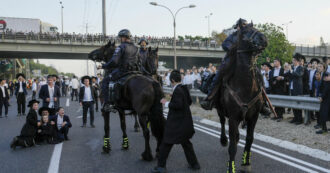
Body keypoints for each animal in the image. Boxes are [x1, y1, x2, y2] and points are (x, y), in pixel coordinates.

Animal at [217, 23, 268, 173]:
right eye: (245, 32)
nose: (264, 39)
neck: (245, 86)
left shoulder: (254, 116)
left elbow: (250, 139)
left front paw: (246, 163)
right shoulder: (233, 117)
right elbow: (232, 146)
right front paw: (231, 168)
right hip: (221, 110)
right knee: (222, 122)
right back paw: (223, 140)